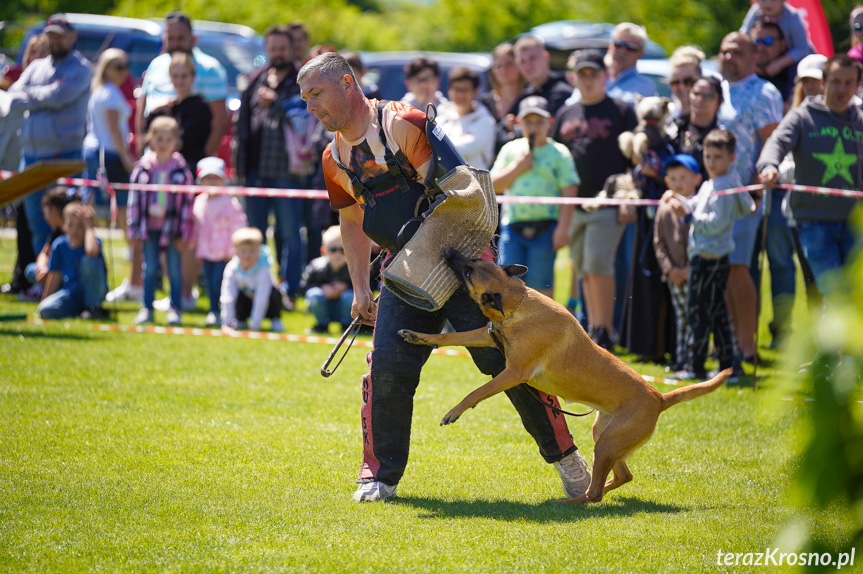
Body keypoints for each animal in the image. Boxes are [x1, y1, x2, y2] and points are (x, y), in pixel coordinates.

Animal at [400, 248, 728, 504]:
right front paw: (418, 336)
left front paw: (453, 412)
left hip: (607, 442)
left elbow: (476, 392)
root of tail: (659, 396)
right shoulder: (486, 334)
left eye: (468, 270)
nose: (448, 251)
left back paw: (567, 501)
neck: (516, 304)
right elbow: (448, 338)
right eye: (472, 260)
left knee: (595, 493)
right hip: (605, 436)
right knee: (621, 477)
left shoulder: (513, 372)